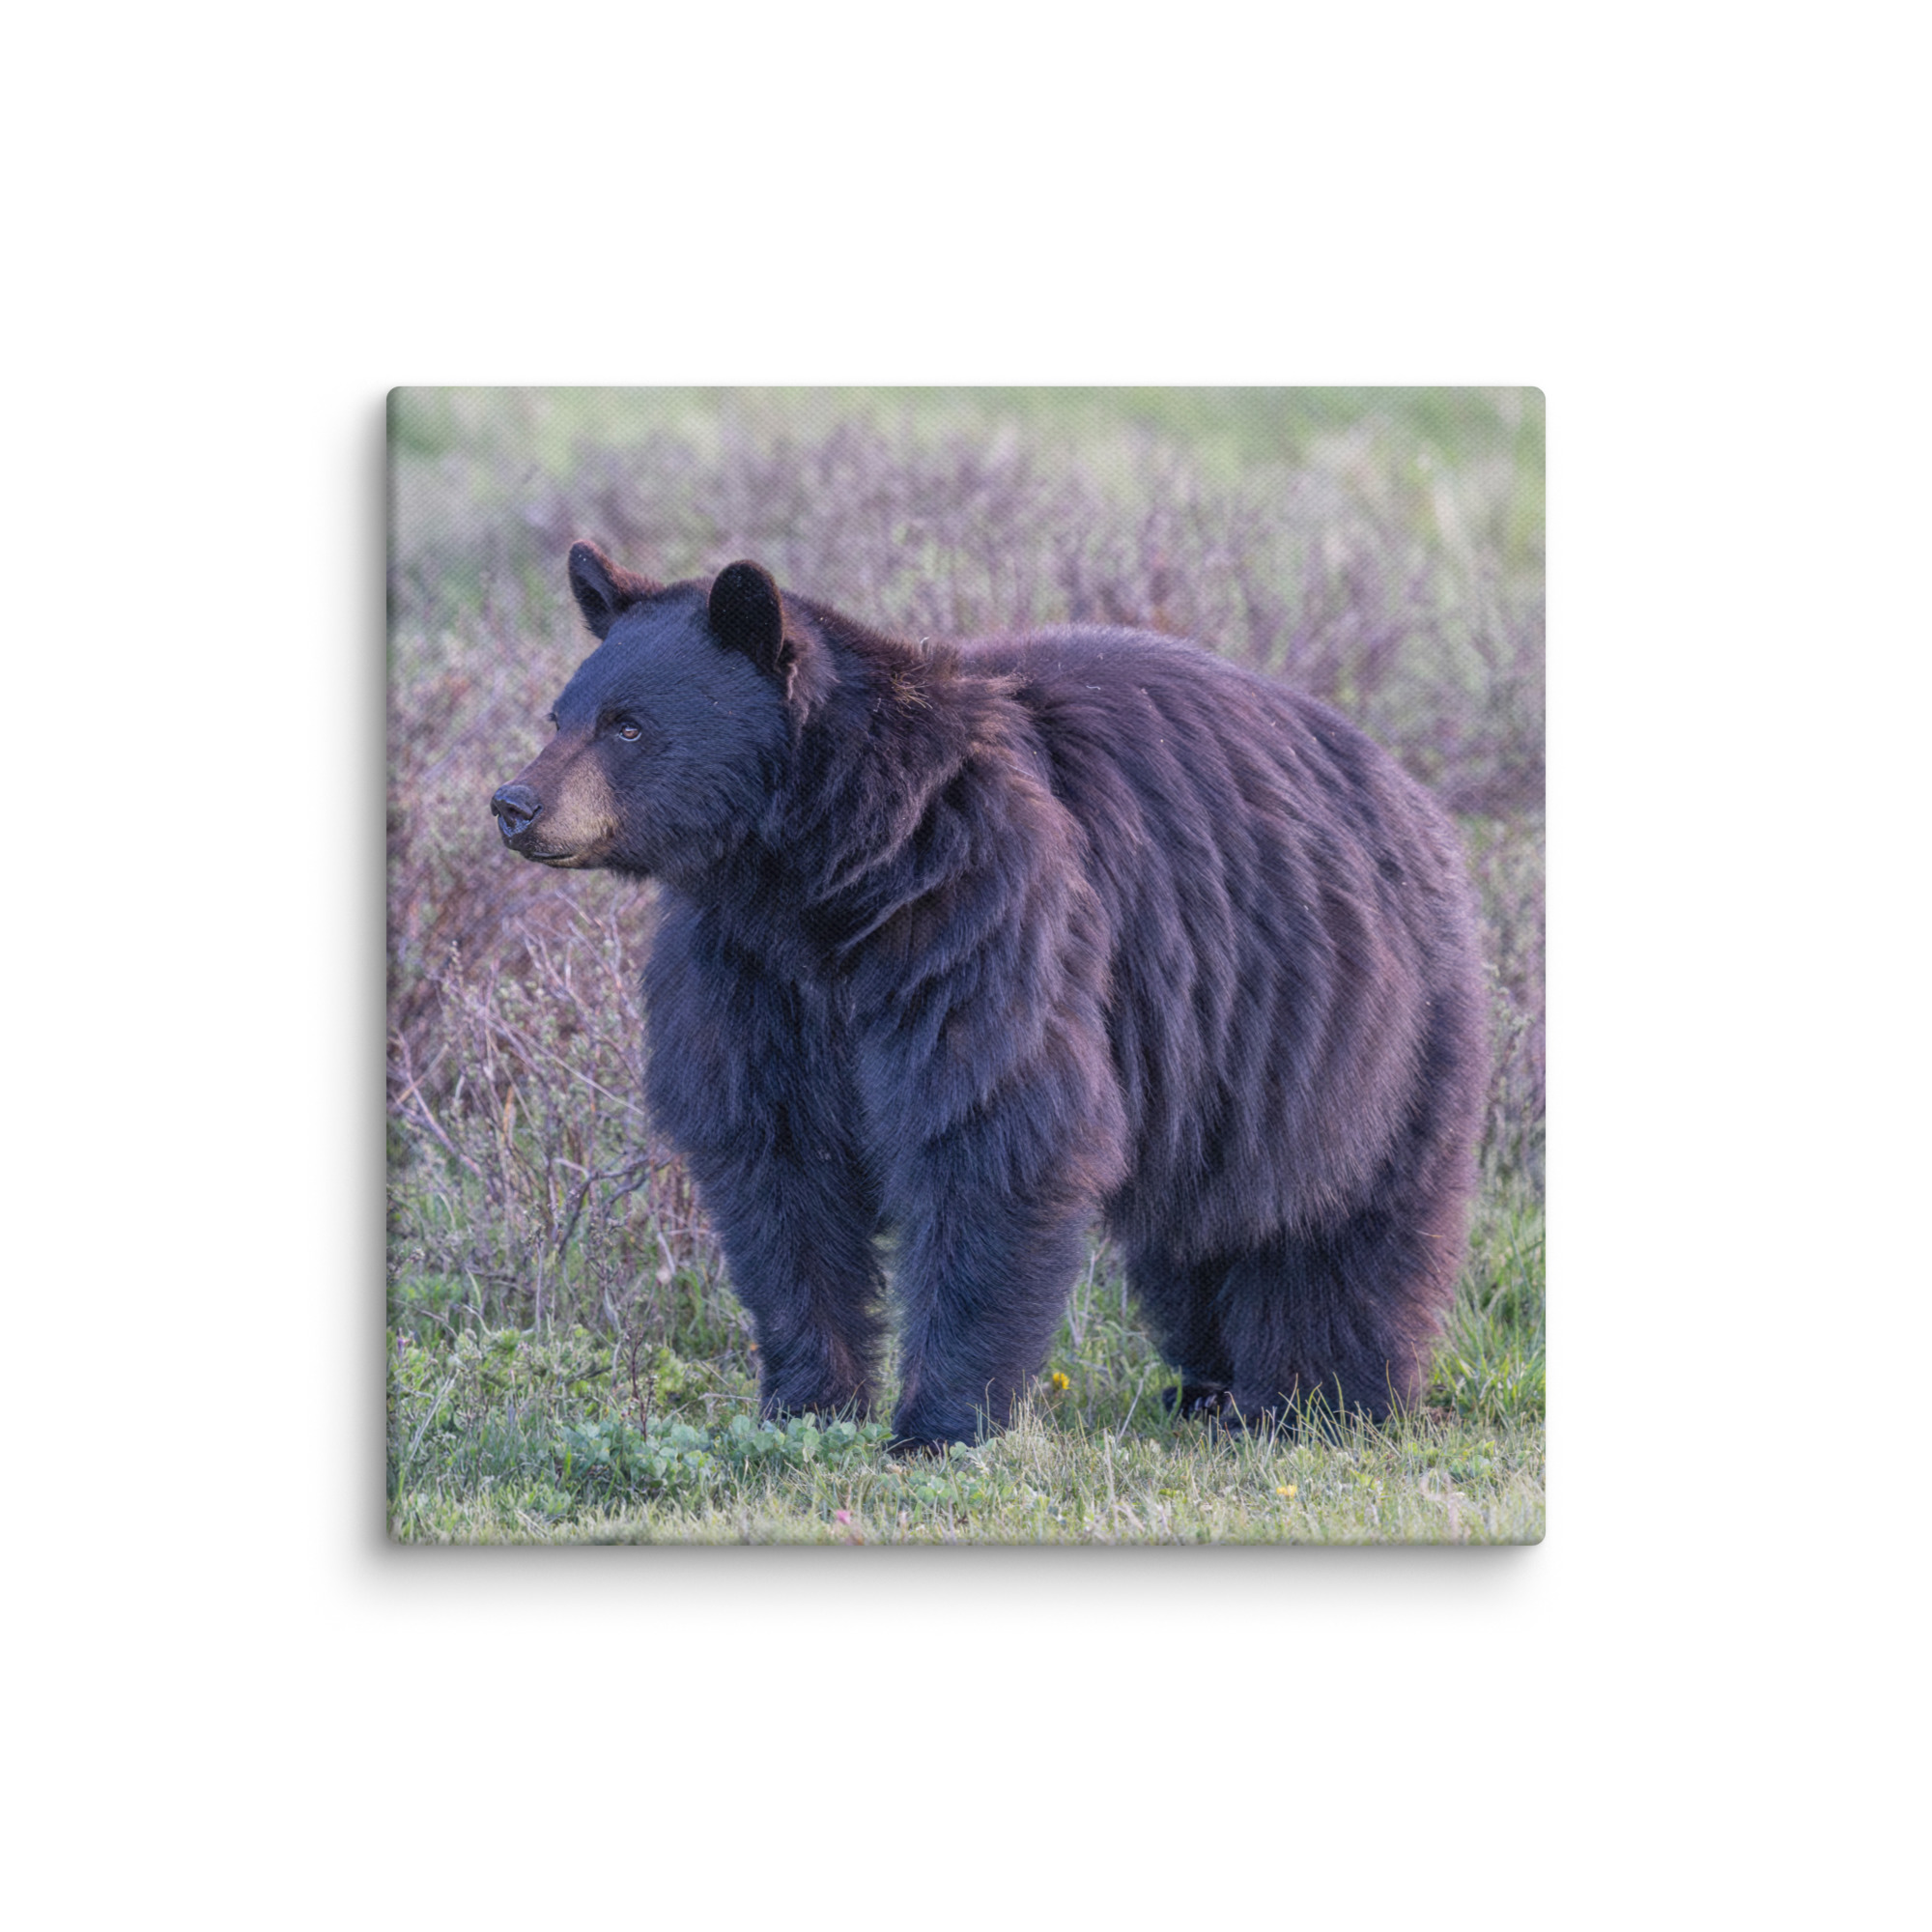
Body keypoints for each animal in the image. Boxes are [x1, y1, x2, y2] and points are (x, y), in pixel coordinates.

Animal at [491, 544, 1488, 1450]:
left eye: (627, 726)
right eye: (560, 713)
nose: (515, 803)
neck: (825, 875)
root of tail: (1409, 792)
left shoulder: (979, 915)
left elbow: (989, 1133)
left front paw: (938, 1424)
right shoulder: (748, 974)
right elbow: (776, 1166)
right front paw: (806, 1403)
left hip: (1352, 1026)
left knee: (1341, 1221)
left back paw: (1318, 1398)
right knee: (1202, 1232)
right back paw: (1209, 1387)